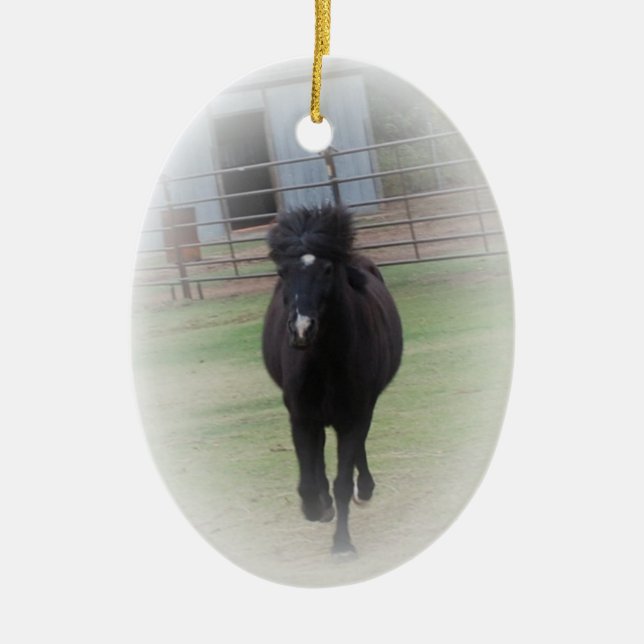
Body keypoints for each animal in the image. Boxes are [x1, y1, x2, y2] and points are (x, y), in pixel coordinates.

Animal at [262, 204, 403, 556]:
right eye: (283, 272)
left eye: (327, 269)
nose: (301, 330)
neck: (324, 359)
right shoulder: (300, 416)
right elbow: (309, 479)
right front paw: (316, 508)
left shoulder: (354, 414)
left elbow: (342, 482)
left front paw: (342, 545)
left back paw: (364, 489)